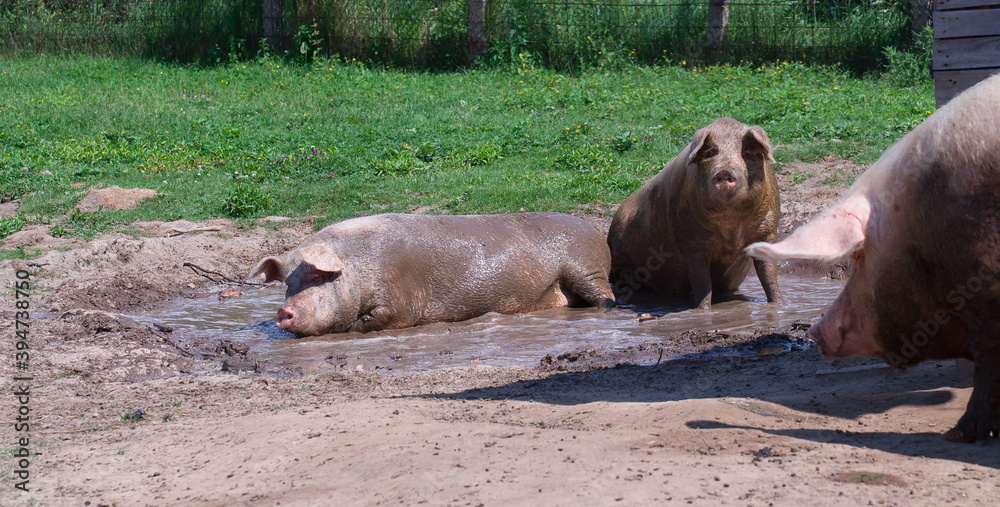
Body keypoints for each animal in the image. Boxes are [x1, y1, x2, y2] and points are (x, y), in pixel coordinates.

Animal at [248, 212, 615, 336]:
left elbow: (383, 319)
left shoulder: (400, 299)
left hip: (587, 269)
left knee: (605, 295)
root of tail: (595, 230)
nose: (282, 311)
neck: (357, 265)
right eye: (288, 283)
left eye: (315, 277)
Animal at [607, 117, 782, 308]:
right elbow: (701, 282)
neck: (730, 227)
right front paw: (703, 310)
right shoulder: (692, 240)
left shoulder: (767, 228)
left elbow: (769, 274)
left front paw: (779, 304)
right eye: (711, 152)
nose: (724, 170)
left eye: (747, 152)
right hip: (620, 254)